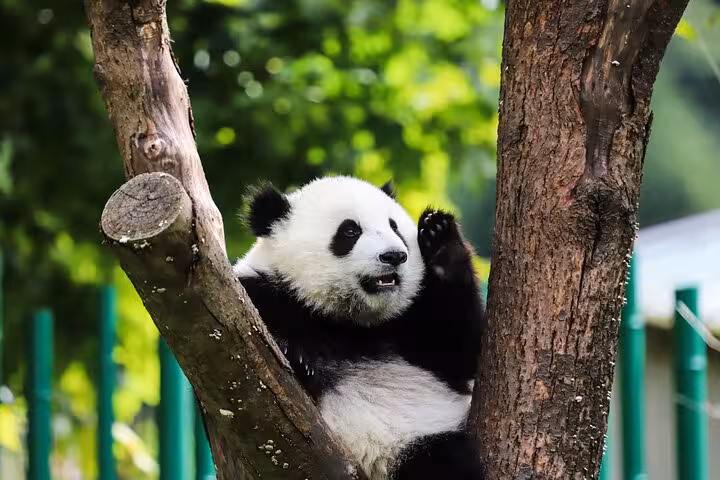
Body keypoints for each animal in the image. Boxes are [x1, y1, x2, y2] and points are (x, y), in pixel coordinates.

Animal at [233, 176, 485, 480]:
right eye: (350, 230)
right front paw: (297, 356)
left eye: (394, 226)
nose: (394, 256)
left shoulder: (409, 319)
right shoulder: (259, 296)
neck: (349, 321)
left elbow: (458, 352)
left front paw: (440, 239)